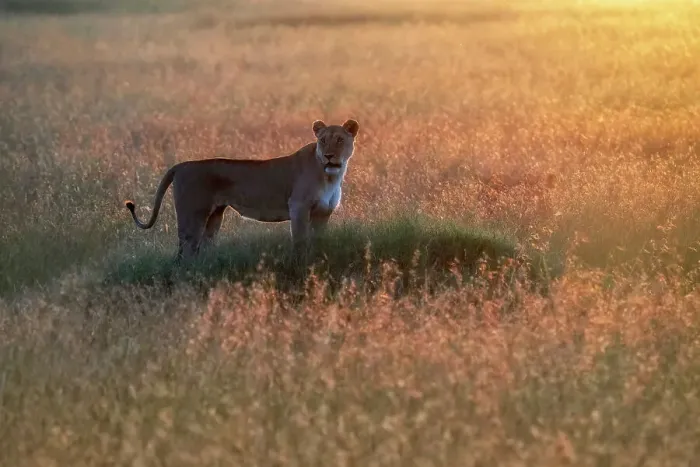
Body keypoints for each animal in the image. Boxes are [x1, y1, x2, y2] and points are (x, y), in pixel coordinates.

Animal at [125, 119, 360, 260]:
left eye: (340, 140)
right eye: (323, 141)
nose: (329, 156)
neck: (331, 175)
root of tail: (180, 166)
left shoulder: (323, 213)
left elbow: (319, 241)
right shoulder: (299, 207)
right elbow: (301, 241)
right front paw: (301, 265)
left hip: (214, 216)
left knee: (202, 248)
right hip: (192, 214)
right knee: (185, 251)